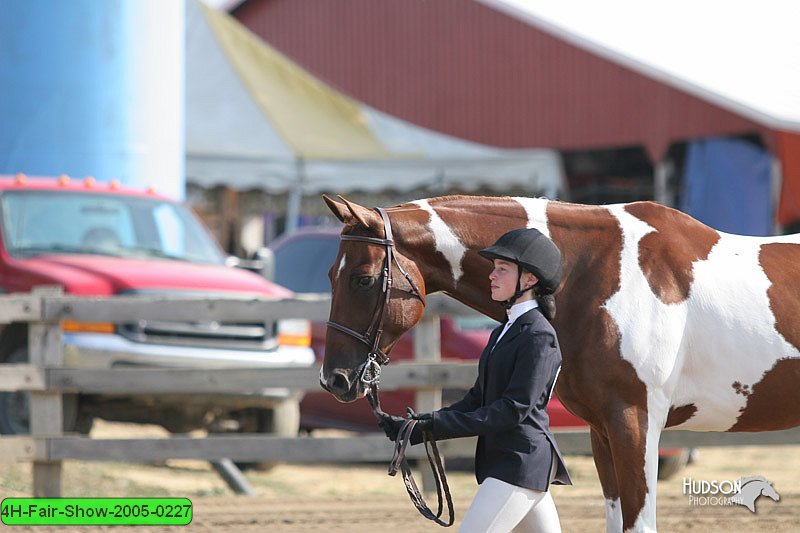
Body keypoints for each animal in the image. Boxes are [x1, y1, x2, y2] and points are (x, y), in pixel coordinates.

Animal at [318, 195, 800, 532]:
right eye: (329, 276)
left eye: (363, 280)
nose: (335, 379)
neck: (590, 272)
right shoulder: (603, 429)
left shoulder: (637, 422)